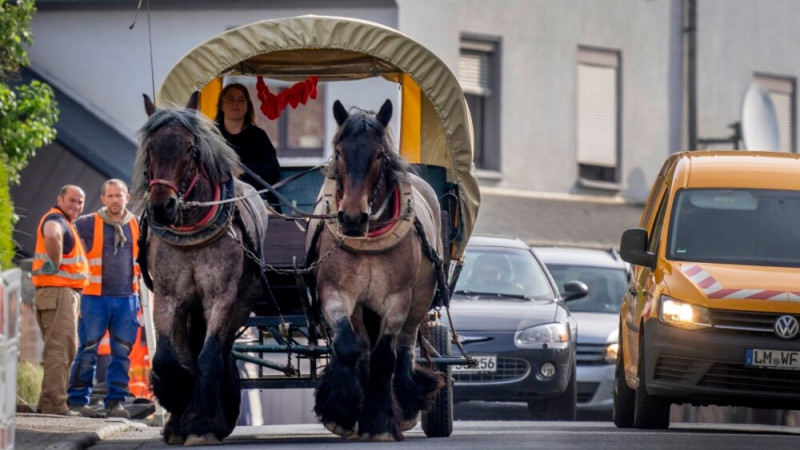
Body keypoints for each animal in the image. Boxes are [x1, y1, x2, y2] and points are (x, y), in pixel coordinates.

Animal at [131, 95, 268, 446]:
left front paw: (202, 423)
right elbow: (168, 357)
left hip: (240, 303)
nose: (162, 206)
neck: (192, 231)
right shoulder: (168, 296)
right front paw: (178, 403)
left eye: (190, 149)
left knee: (220, 350)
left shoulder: (221, 297)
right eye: (150, 148)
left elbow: (208, 356)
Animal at [304, 98, 444, 440]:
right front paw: (343, 410)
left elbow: (385, 357)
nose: (353, 217)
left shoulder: (397, 300)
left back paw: (405, 402)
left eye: (379, 154)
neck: (368, 238)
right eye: (339, 152)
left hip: (421, 297)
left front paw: (379, 421)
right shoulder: (335, 293)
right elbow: (349, 347)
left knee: (405, 346)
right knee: (364, 348)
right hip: (360, 306)